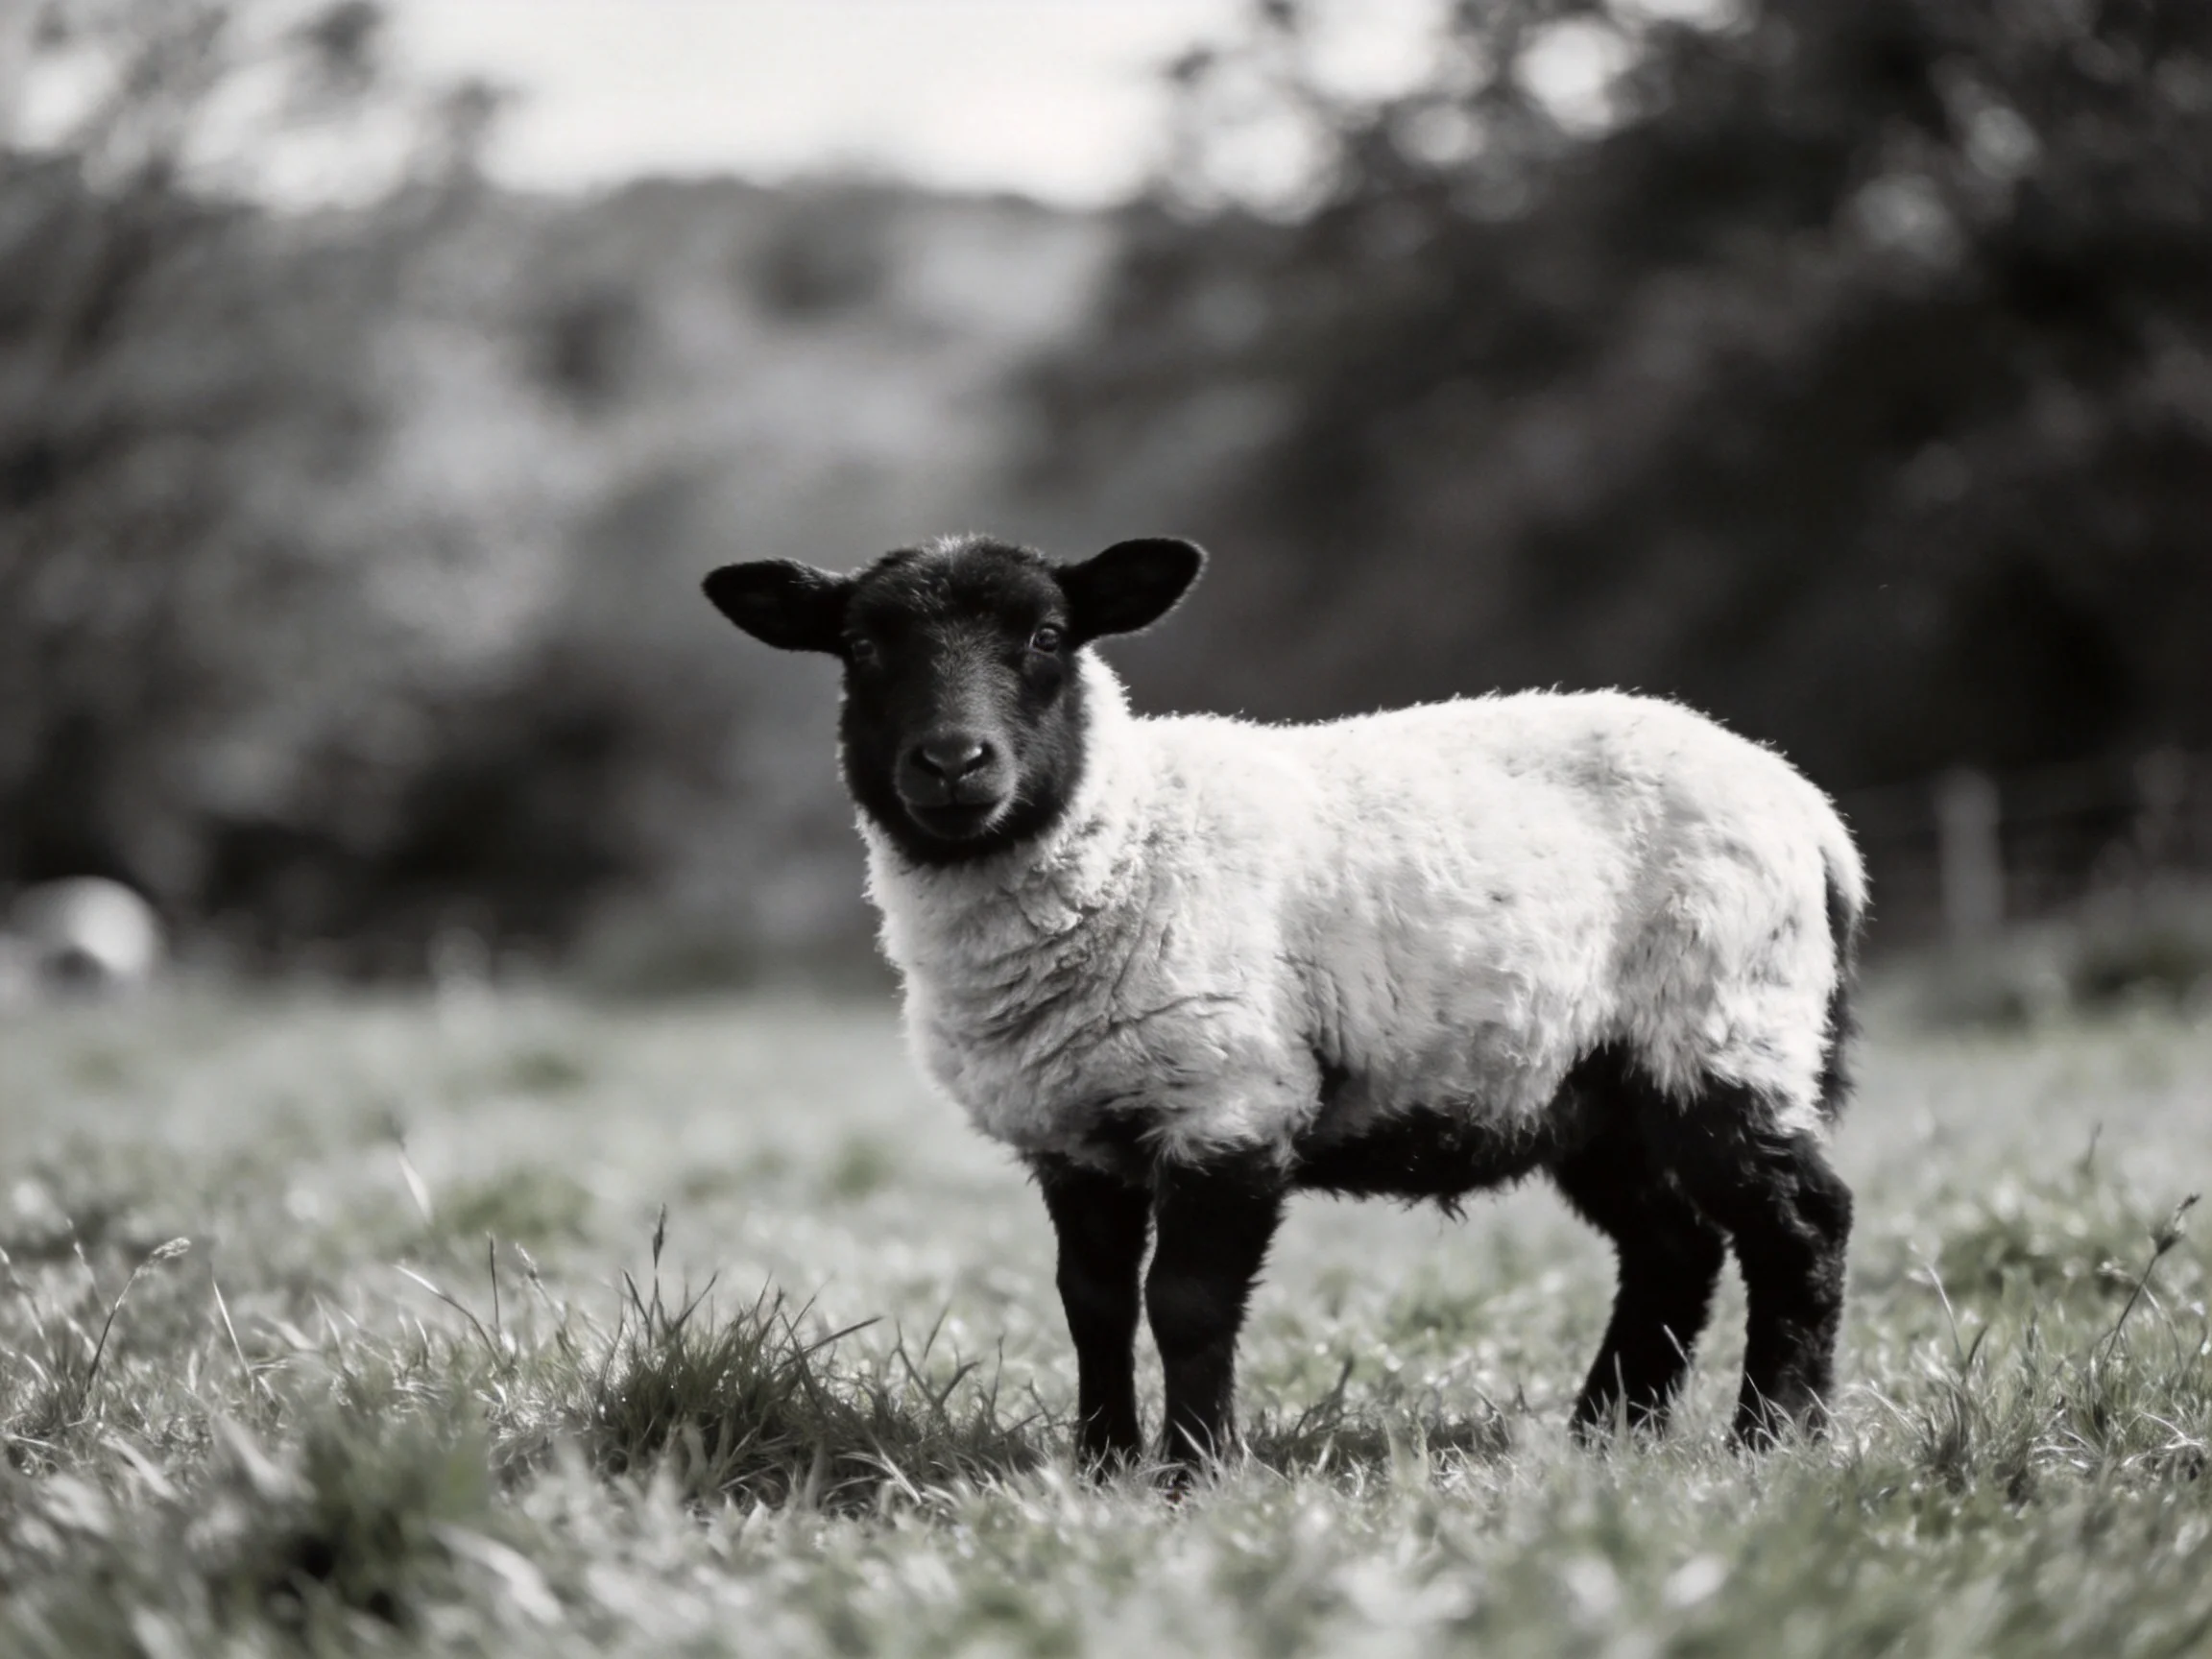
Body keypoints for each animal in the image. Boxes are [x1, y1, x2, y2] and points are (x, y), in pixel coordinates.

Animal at [703, 532, 1865, 1473]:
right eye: (861, 647)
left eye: (1047, 635)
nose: (953, 763)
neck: (1125, 835)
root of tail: (1810, 810)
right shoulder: (1076, 1130)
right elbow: (1090, 1304)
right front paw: (1101, 1466)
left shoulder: (1227, 1097)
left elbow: (1185, 1305)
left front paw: (1195, 1473)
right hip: (1589, 1086)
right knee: (1674, 1247)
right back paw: (1603, 1440)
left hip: (1725, 1029)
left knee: (1803, 1224)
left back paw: (1774, 1438)